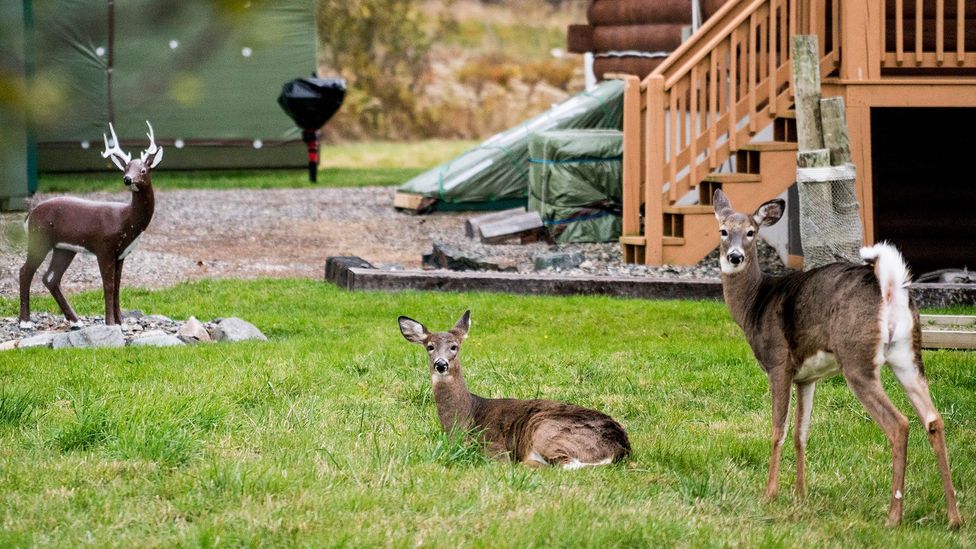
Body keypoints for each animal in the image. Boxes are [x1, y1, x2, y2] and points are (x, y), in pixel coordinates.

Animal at [20, 122, 164, 328]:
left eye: (143, 170)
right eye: (125, 169)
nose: (127, 179)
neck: (126, 220)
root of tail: (29, 215)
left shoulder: (120, 254)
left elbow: (117, 286)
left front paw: (121, 322)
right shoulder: (103, 247)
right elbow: (108, 286)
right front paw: (110, 323)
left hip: (64, 248)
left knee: (50, 278)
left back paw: (76, 320)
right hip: (39, 239)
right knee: (25, 272)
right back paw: (25, 322)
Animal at [398, 310, 632, 468]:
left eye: (454, 347)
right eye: (430, 347)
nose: (441, 364)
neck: (465, 419)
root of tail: (621, 448)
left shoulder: (494, 447)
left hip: (546, 428)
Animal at [712, 188, 964, 528]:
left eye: (751, 232)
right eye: (723, 231)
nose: (735, 256)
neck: (755, 304)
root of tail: (890, 289)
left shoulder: (778, 364)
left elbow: (778, 430)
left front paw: (770, 494)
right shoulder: (806, 377)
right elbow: (801, 433)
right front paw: (800, 494)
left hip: (856, 359)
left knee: (899, 424)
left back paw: (893, 517)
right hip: (907, 355)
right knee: (933, 419)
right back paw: (954, 517)